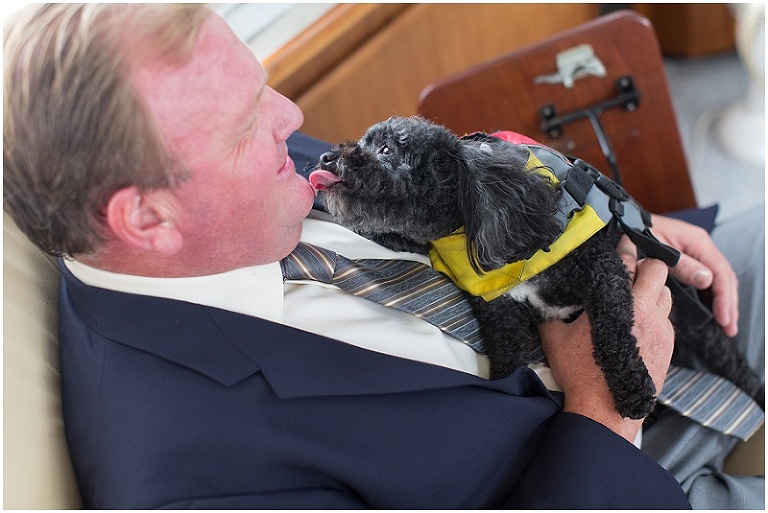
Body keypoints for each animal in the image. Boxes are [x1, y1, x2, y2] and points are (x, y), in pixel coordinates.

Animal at [308, 114, 764, 418]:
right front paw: (506, 390)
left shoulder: (603, 270)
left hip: (700, 322)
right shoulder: (499, 312)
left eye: (388, 149)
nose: (326, 157)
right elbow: (508, 356)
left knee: (732, 361)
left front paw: (632, 388)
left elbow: (613, 329)